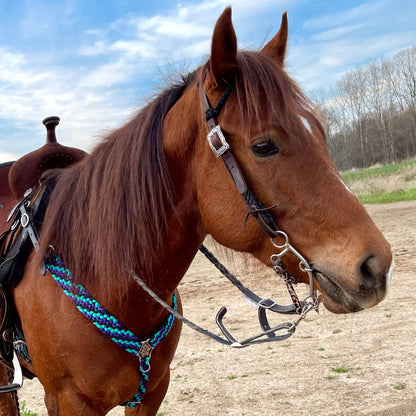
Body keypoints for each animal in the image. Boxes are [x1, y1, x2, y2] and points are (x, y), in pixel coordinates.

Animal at [0, 7, 394, 416]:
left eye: (318, 131)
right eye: (263, 146)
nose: (375, 265)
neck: (104, 276)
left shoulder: (153, 390)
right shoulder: (67, 401)